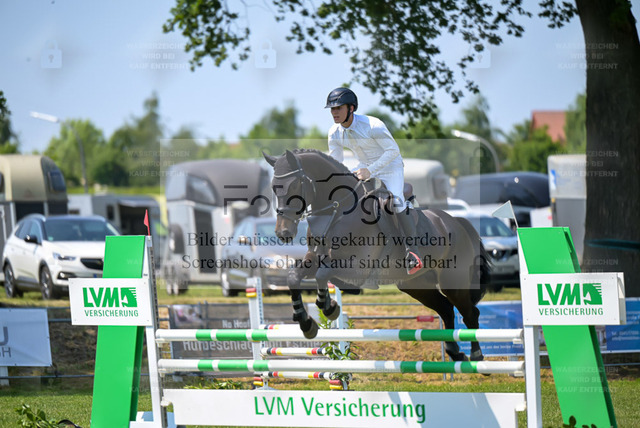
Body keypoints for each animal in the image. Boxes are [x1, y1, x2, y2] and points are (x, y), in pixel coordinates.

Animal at [263, 149, 491, 362]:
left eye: (294, 185)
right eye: (274, 187)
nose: (283, 233)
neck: (339, 210)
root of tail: (457, 221)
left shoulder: (357, 267)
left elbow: (322, 274)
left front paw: (329, 308)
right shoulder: (314, 259)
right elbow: (294, 277)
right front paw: (306, 322)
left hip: (453, 282)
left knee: (469, 313)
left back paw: (476, 355)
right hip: (416, 285)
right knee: (446, 309)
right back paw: (454, 352)